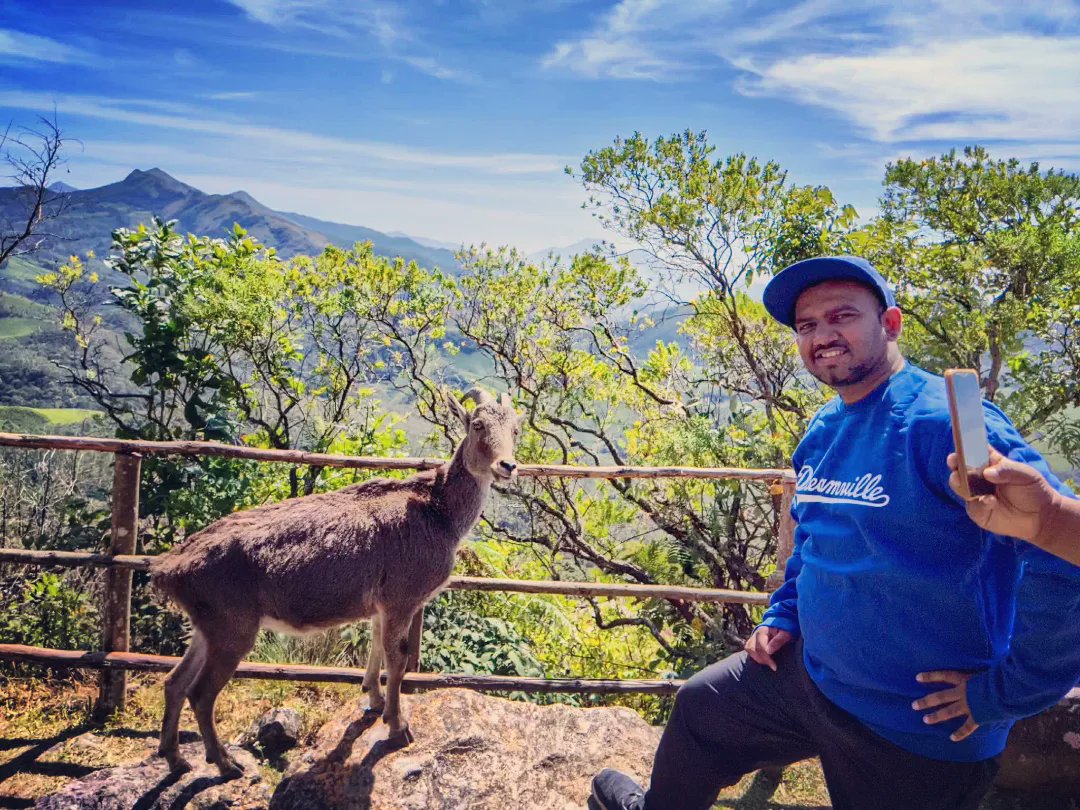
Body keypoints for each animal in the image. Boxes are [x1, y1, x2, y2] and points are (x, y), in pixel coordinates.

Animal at [150, 387, 521, 778]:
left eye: (515, 428)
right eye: (477, 424)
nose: (507, 466)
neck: (437, 512)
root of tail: (168, 569)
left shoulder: (382, 605)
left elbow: (376, 648)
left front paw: (374, 701)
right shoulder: (403, 598)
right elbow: (397, 659)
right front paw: (398, 727)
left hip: (206, 626)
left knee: (174, 682)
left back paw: (176, 758)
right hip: (232, 627)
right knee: (200, 694)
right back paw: (225, 764)